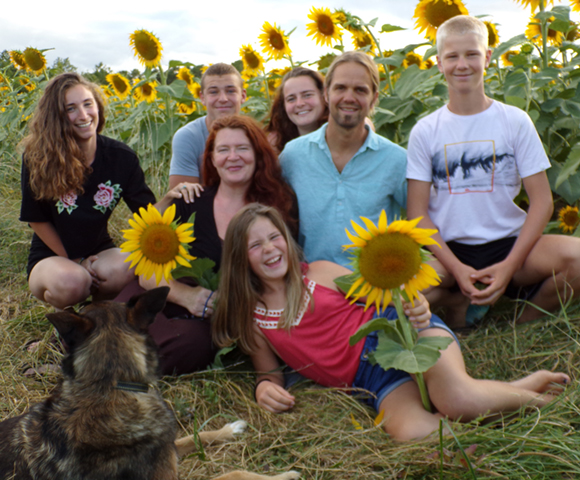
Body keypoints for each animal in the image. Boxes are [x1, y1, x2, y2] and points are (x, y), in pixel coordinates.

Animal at [0, 288, 300, 480]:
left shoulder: (166, 448)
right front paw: (285, 475)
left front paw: (228, 430)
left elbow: (194, 436)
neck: (110, 384)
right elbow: (235, 473)